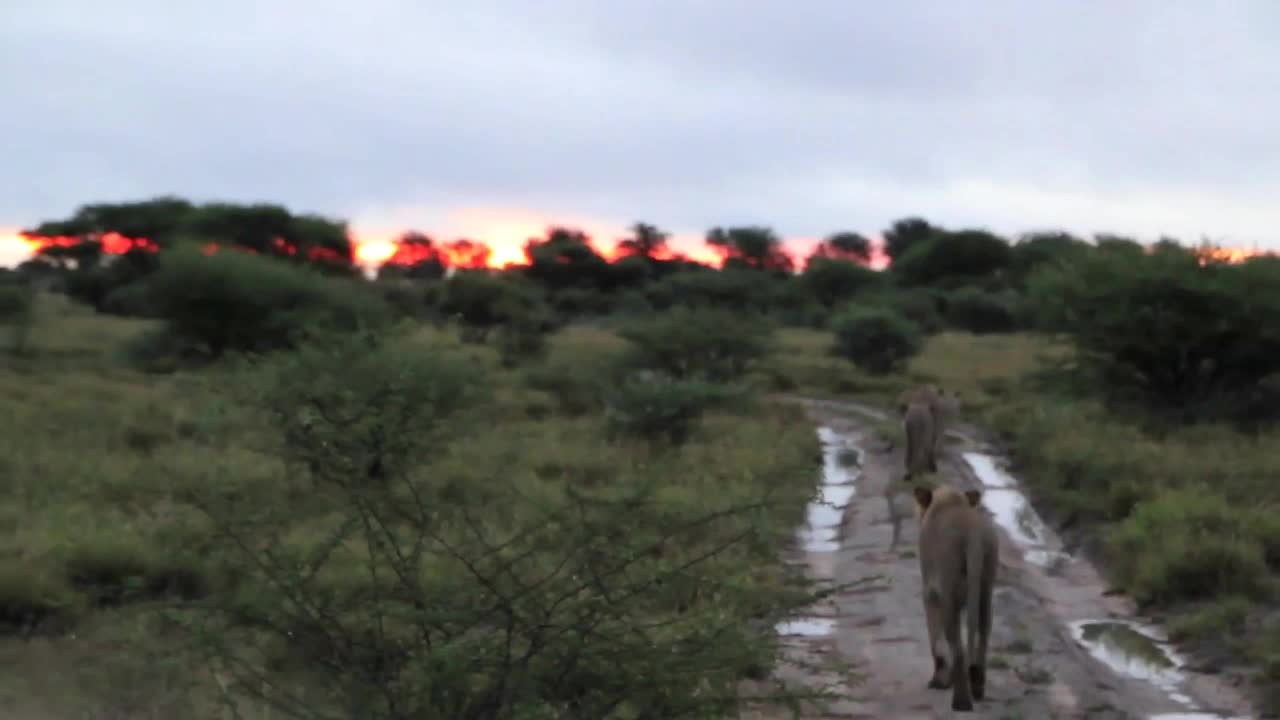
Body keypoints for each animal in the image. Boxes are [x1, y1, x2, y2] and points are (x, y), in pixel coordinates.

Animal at [916, 479, 993, 707]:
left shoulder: (931, 592)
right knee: (983, 632)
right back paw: (977, 687)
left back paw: (961, 702)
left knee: (957, 647)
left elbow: (936, 640)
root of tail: (973, 534)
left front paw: (939, 680)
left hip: (948, 588)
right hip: (986, 586)